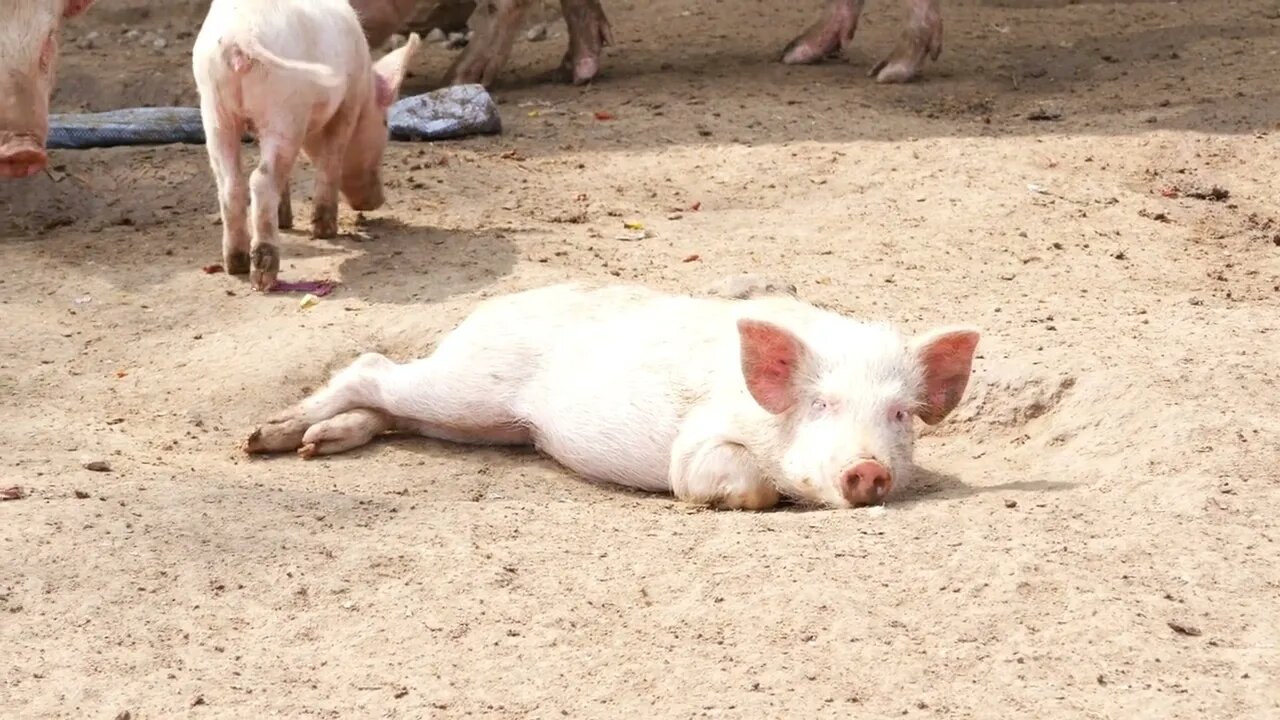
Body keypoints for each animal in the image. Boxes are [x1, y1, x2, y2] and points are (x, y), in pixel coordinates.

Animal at [192, 0, 419, 288]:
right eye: (386, 123)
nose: (376, 201)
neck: (366, 82)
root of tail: (241, 39)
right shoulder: (348, 102)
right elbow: (332, 158)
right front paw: (325, 232)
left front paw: (286, 222)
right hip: (284, 106)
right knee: (261, 180)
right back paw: (264, 276)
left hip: (214, 108)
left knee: (232, 184)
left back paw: (236, 265)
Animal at [241, 283, 977, 507]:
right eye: (820, 403)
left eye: (899, 414)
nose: (868, 469)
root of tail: (486, 309)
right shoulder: (697, 444)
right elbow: (720, 478)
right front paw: (751, 499)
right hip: (468, 385)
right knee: (370, 367)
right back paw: (263, 440)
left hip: (482, 422)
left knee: (393, 411)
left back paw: (313, 446)